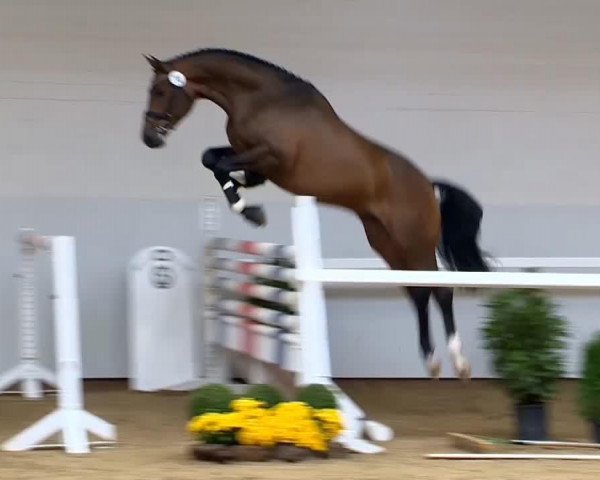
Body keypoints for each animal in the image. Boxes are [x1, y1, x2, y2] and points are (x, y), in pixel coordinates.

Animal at [142, 47, 492, 378]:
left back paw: (459, 362)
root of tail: (429, 188)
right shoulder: (255, 162)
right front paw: (249, 208)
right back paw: (431, 360)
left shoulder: (271, 157)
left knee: (440, 291)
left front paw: (250, 211)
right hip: (386, 243)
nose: (148, 138)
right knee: (418, 293)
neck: (259, 100)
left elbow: (220, 164)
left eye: (159, 90)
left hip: (415, 243)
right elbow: (212, 160)